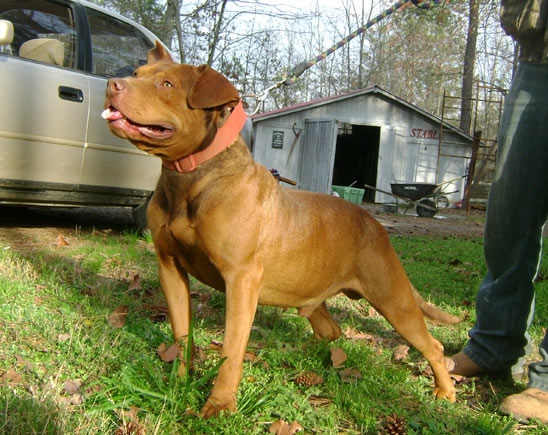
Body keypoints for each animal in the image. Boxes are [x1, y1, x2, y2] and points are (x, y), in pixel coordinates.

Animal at [101, 41, 458, 418]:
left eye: (167, 84)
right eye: (136, 74)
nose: (112, 84)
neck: (190, 178)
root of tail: (376, 225)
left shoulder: (240, 280)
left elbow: (231, 351)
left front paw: (220, 404)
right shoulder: (170, 269)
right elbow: (182, 334)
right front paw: (180, 382)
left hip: (393, 298)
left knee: (432, 345)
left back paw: (444, 392)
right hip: (316, 293)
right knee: (331, 329)